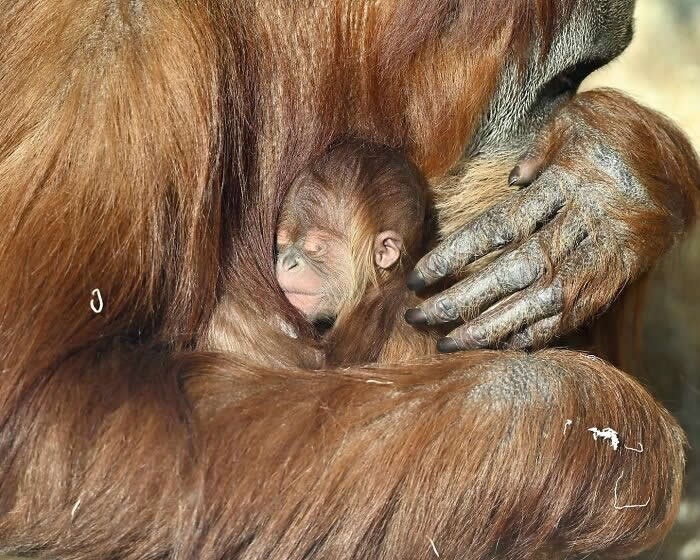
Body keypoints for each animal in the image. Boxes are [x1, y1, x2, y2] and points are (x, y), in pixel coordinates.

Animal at [1, 1, 698, 559]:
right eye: (562, 80)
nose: (565, 107)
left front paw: (604, 178)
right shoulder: (108, 50)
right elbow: (53, 430)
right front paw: (602, 421)